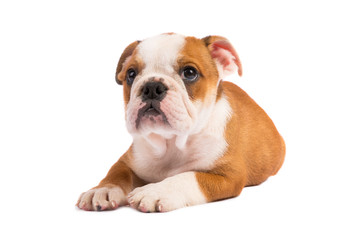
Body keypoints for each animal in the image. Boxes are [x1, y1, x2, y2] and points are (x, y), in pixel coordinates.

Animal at [76, 33, 286, 212]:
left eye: (190, 72)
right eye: (131, 74)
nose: (152, 87)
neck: (171, 142)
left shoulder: (228, 175)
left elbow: (190, 176)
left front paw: (156, 190)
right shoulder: (127, 160)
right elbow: (116, 173)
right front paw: (102, 189)